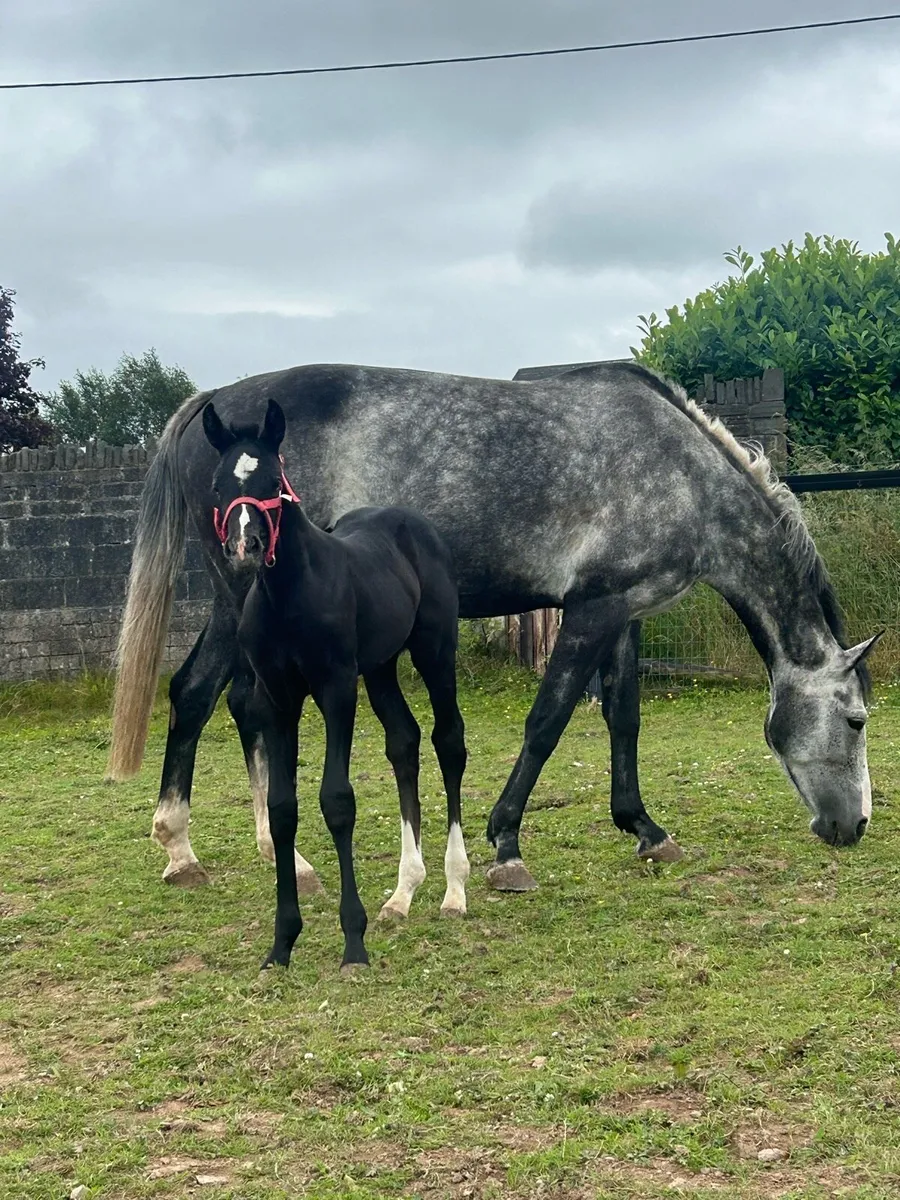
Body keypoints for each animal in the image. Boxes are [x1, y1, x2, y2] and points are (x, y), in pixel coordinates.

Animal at [107, 362, 881, 894]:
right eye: (856, 721)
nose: (855, 828)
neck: (682, 473)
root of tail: (211, 406)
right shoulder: (592, 611)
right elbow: (548, 720)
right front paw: (506, 846)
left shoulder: (621, 609)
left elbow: (624, 717)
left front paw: (643, 828)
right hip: (246, 599)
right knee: (222, 699)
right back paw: (223, 853)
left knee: (207, 697)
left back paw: (233, 851)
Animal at [201, 396, 469, 969]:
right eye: (216, 484)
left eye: (273, 476)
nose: (245, 546)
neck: (289, 595)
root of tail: (413, 523)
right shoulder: (276, 699)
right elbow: (283, 808)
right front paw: (281, 943)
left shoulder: (336, 690)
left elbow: (337, 801)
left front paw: (353, 942)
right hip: (382, 667)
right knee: (404, 742)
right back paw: (403, 893)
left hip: (434, 653)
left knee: (448, 742)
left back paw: (454, 890)